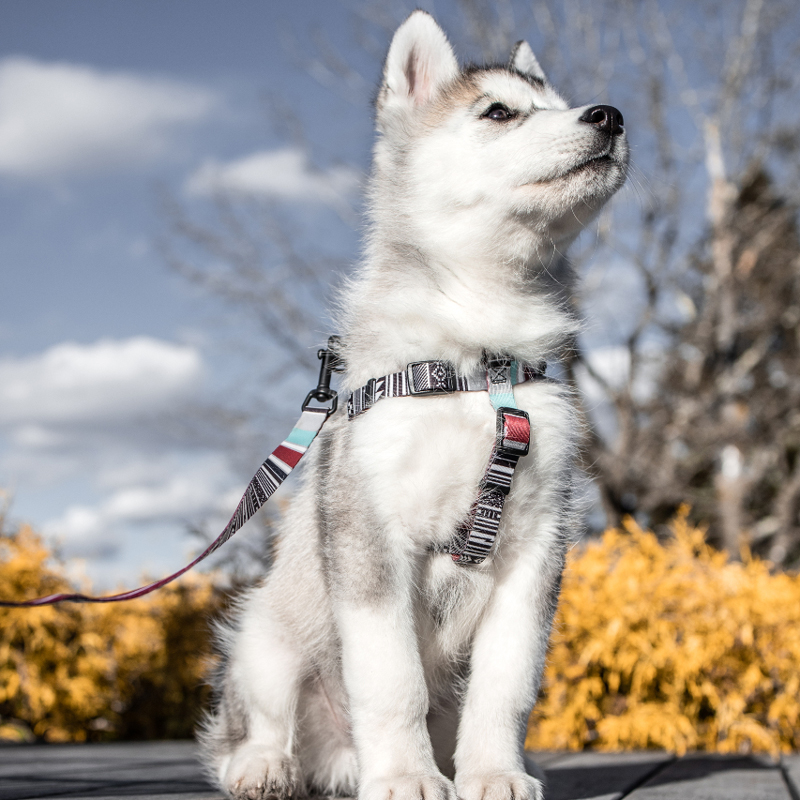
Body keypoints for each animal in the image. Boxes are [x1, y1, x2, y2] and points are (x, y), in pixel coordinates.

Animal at [200, 10, 624, 800]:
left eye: (561, 102)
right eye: (499, 113)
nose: (609, 116)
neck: (476, 364)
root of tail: (335, 759)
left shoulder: (538, 547)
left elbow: (506, 683)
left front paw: (494, 772)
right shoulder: (371, 534)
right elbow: (392, 679)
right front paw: (405, 776)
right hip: (263, 631)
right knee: (254, 717)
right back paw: (263, 764)